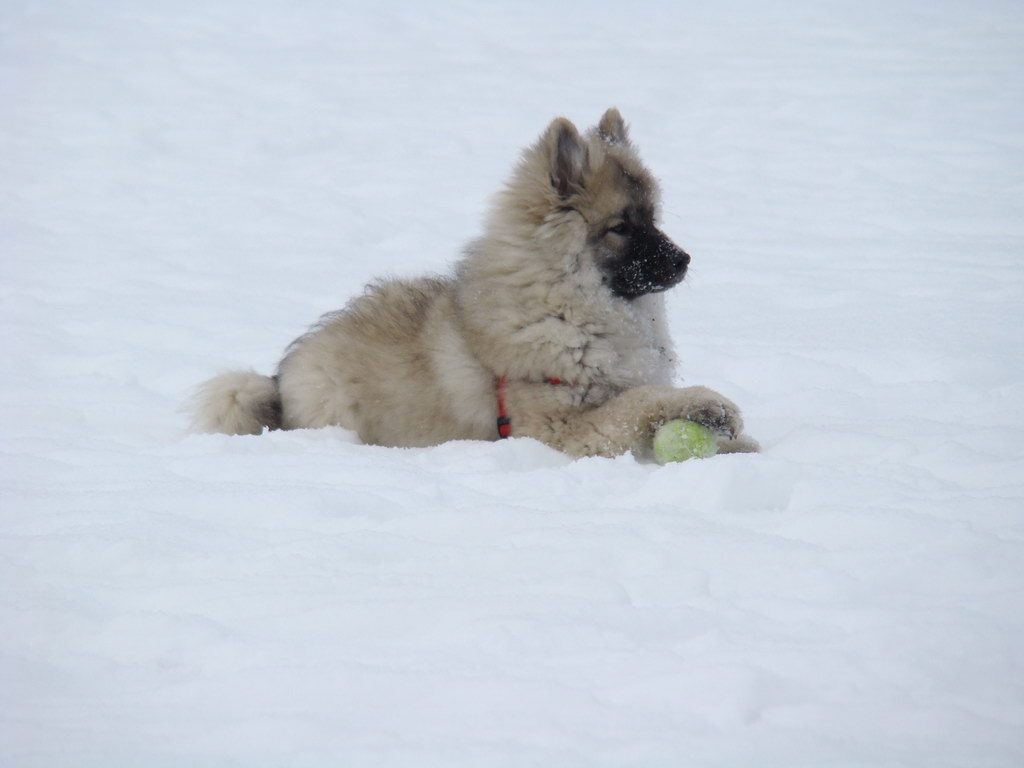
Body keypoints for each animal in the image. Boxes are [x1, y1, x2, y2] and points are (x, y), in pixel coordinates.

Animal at [192, 110, 757, 460]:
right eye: (622, 226)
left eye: (654, 218)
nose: (684, 259)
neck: (567, 306)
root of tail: (279, 380)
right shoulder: (558, 428)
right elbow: (640, 402)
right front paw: (709, 404)